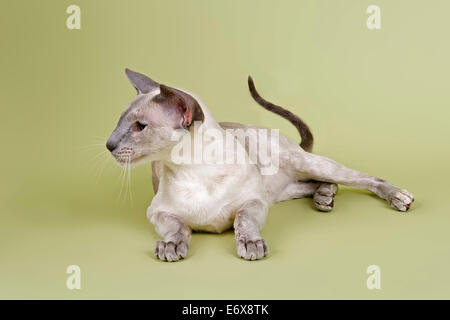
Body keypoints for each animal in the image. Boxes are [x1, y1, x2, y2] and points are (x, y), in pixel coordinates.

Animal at [106, 69, 414, 262]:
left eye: (140, 126)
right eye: (119, 123)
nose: (109, 145)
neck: (196, 170)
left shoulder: (254, 203)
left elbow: (242, 221)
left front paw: (251, 245)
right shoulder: (159, 212)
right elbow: (177, 227)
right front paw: (172, 246)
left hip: (306, 166)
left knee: (364, 179)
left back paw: (398, 197)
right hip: (281, 191)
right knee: (315, 184)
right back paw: (324, 197)